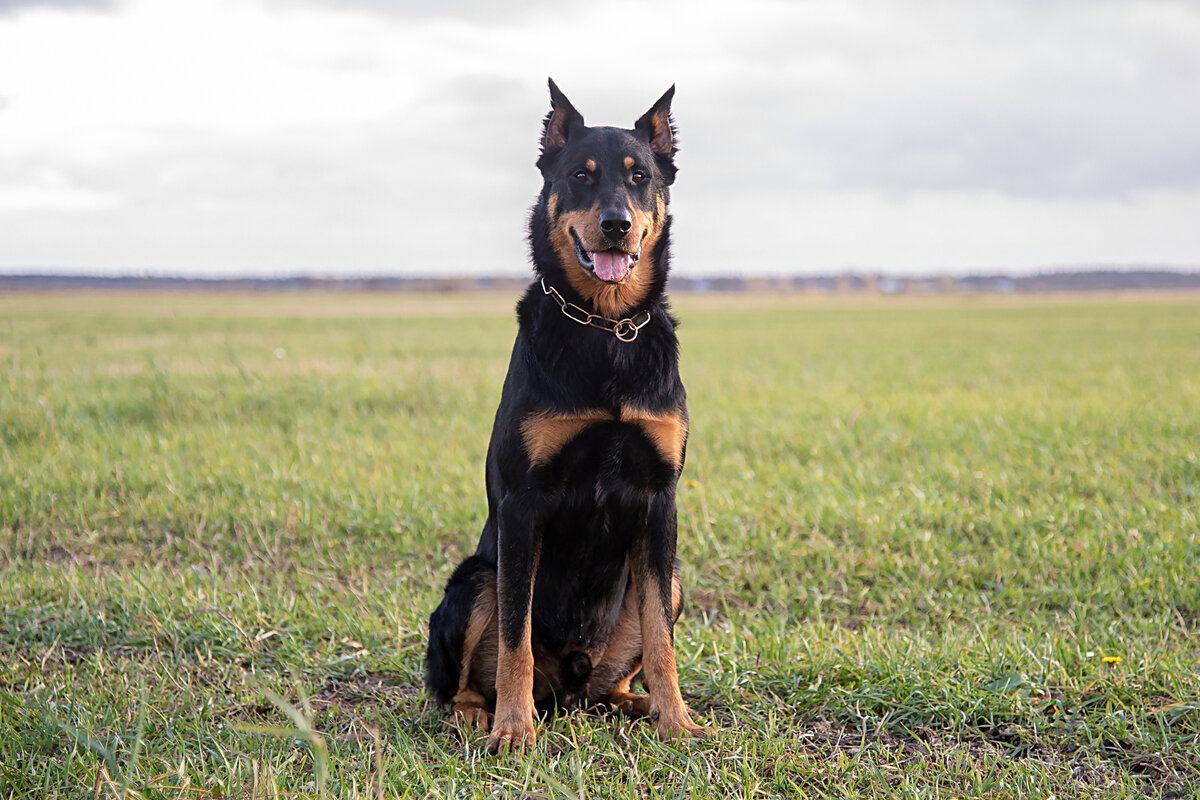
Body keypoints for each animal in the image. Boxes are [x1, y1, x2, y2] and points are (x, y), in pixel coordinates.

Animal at [424, 77, 705, 753]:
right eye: (580, 176)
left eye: (639, 177)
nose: (616, 225)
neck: (605, 328)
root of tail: (571, 689)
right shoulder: (523, 507)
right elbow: (515, 639)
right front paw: (513, 729)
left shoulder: (659, 501)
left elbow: (662, 639)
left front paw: (678, 719)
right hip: (473, 581)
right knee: (464, 677)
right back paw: (479, 714)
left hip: (672, 581)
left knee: (621, 669)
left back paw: (638, 704)